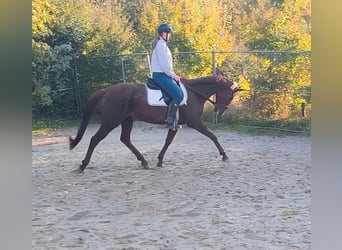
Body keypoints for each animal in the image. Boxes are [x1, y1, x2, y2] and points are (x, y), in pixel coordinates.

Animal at [69, 74, 240, 172]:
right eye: (230, 96)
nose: (220, 111)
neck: (194, 94)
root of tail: (106, 91)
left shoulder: (176, 124)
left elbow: (168, 141)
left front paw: (159, 160)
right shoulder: (194, 122)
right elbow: (212, 135)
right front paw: (224, 155)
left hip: (126, 120)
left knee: (125, 139)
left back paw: (144, 161)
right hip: (111, 121)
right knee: (95, 139)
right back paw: (83, 165)